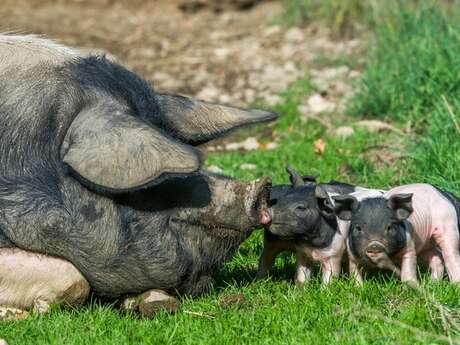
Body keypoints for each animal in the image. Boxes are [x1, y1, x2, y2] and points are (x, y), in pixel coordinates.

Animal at [332, 183, 460, 284]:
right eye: (358, 228)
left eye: (390, 227)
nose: (374, 245)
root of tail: (443, 193)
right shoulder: (351, 252)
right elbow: (355, 273)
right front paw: (360, 287)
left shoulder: (409, 245)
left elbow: (408, 271)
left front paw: (412, 286)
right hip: (424, 244)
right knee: (437, 256)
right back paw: (433, 283)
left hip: (448, 224)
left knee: (451, 255)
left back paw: (455, 284)